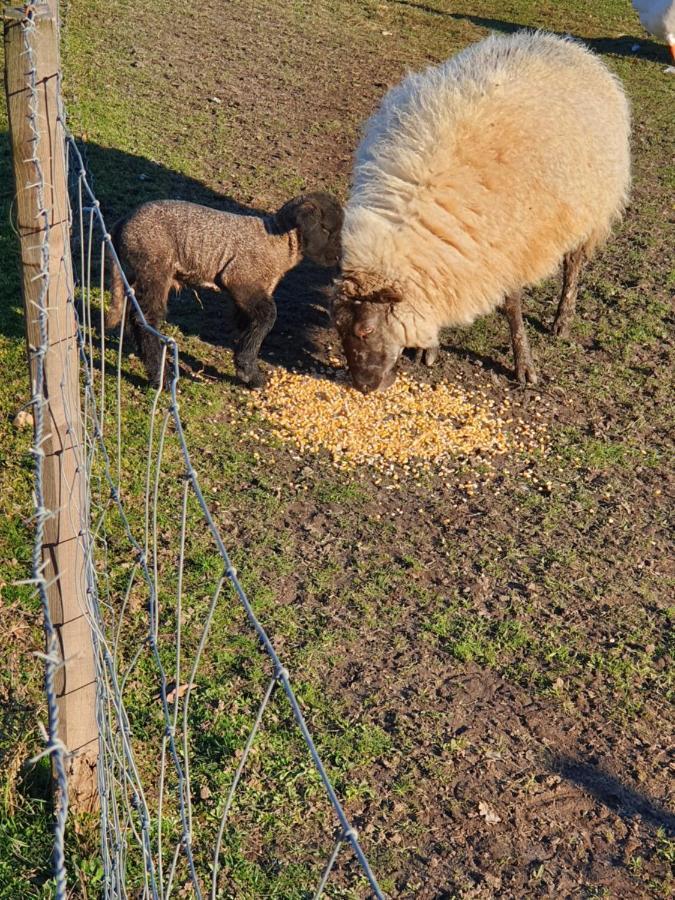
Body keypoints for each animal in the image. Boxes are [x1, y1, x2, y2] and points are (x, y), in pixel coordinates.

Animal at [332, 32, 632, 390]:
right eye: (337, 327)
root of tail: (564, 43)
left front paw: (524, 365)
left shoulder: (511, 246)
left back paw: (562, 320)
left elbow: (512, 307)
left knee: (573, 265)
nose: (363, 386)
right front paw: (429, 348)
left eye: (366, 330)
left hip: (590, 212)